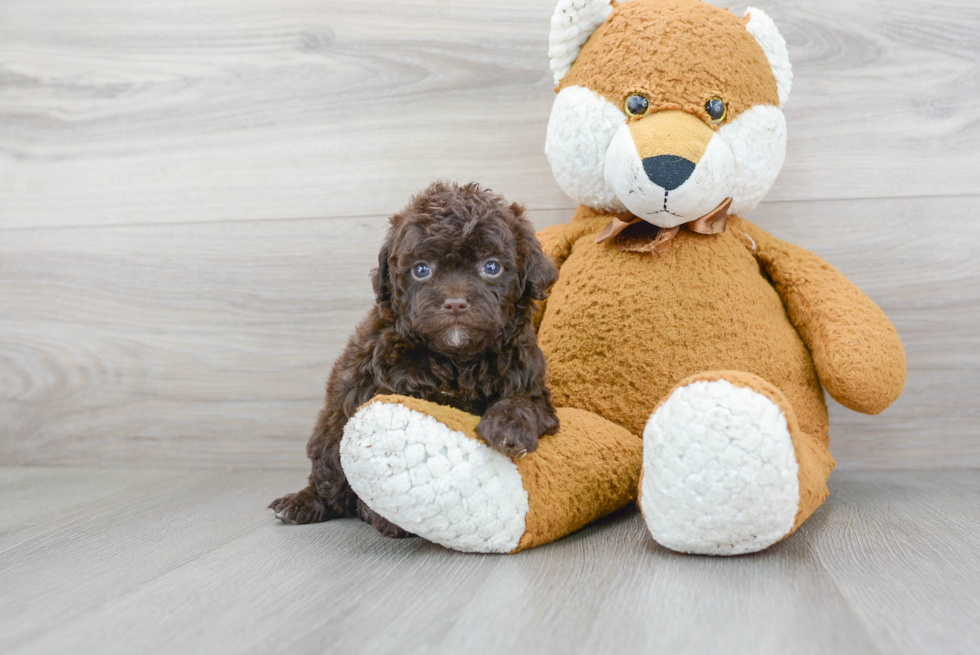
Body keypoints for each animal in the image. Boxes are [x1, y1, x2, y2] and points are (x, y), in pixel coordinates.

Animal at [270, 182, 560, 536]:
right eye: (421, 270)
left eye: (492, 267)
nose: (454, 303)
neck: (458, 359)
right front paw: (390, 516)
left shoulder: (532, 387)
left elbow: (522, 403)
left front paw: (509, 428)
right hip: (329, 432)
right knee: (330, 484)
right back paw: (303, 503)